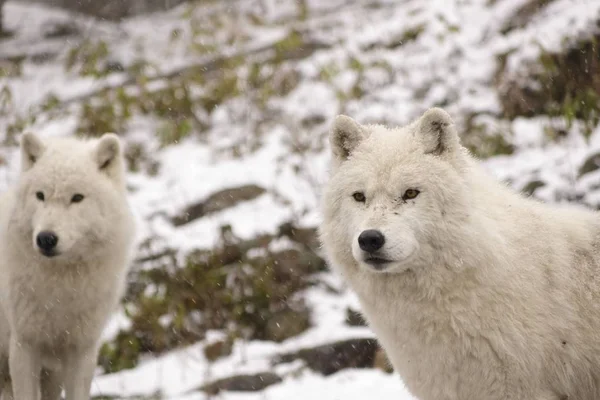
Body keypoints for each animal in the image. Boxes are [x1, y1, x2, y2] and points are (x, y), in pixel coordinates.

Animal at [0, 133, 137, 398]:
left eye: (77, 198)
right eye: (40, 195)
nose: (45, 238)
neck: (61, 289)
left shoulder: (81, 350)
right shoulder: (24, 346)